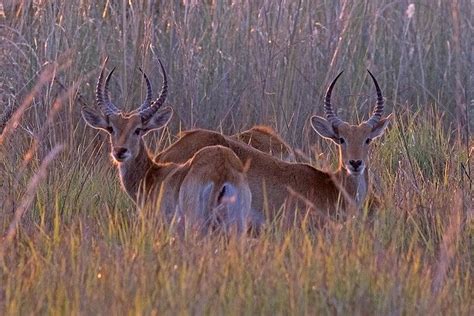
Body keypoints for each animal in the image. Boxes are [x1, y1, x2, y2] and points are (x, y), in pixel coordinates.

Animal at [81, 58, 260, 235]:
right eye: (111, 128)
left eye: (138, 129)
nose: (120, 151)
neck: (153, 176)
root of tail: (222, 171)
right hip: (237, 227)